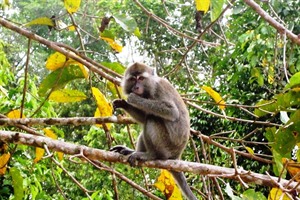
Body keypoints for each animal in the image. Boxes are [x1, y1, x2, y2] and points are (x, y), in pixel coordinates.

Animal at [111, 62, 198, 200]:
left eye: (141, 78)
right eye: (132, 79)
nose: (136, 88)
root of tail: (176, 156)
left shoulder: (159, 89)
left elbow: (172, 112)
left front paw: (134, 99)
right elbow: (143, 118)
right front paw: (122, 103)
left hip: (166, 146)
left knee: (152, 119)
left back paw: (151, 155)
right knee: (148, 120)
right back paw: (133, 152)